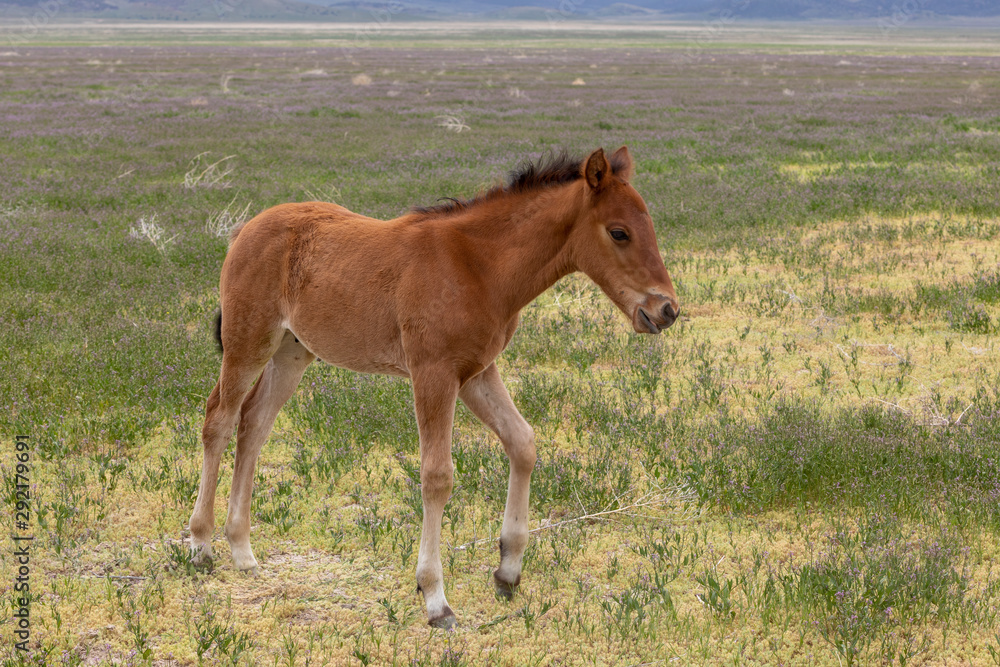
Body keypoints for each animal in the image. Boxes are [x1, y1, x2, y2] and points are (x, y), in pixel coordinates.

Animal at [188, 146, 680, 628]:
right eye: (619, 233)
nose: (667, 309)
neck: (478, 267)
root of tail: (245, 229)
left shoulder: (477, 372)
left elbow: (523, 443)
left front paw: (507, 571)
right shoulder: (434, 373)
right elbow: (437, 476)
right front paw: (434, 598)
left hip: (292, 352)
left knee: (254, 423)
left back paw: (243, 551)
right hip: (248, 342)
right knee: (220, 420)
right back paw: (202, 547)